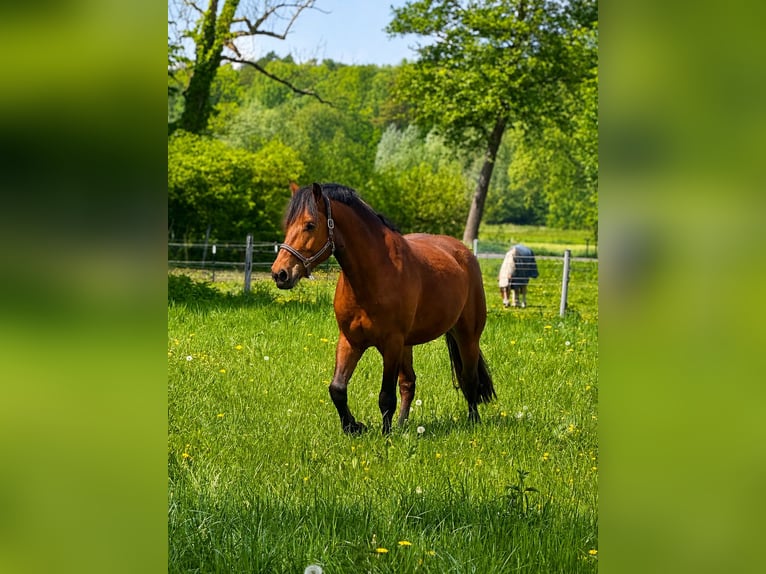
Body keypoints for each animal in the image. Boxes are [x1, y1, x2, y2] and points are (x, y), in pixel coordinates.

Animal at [271, 182, 495, 434]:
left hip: (467, 337)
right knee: (409, 383)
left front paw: (385, 435)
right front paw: (354, 426)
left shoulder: (391, 343)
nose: (280, 273)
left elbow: (386, 396)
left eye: (309, 224)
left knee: (469, 379)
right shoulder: (350, 340)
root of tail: (464, 253)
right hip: (409, 344)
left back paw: (473, 421)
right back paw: (402, 425)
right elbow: (337, 389)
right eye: (287, 224)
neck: (374, 274)